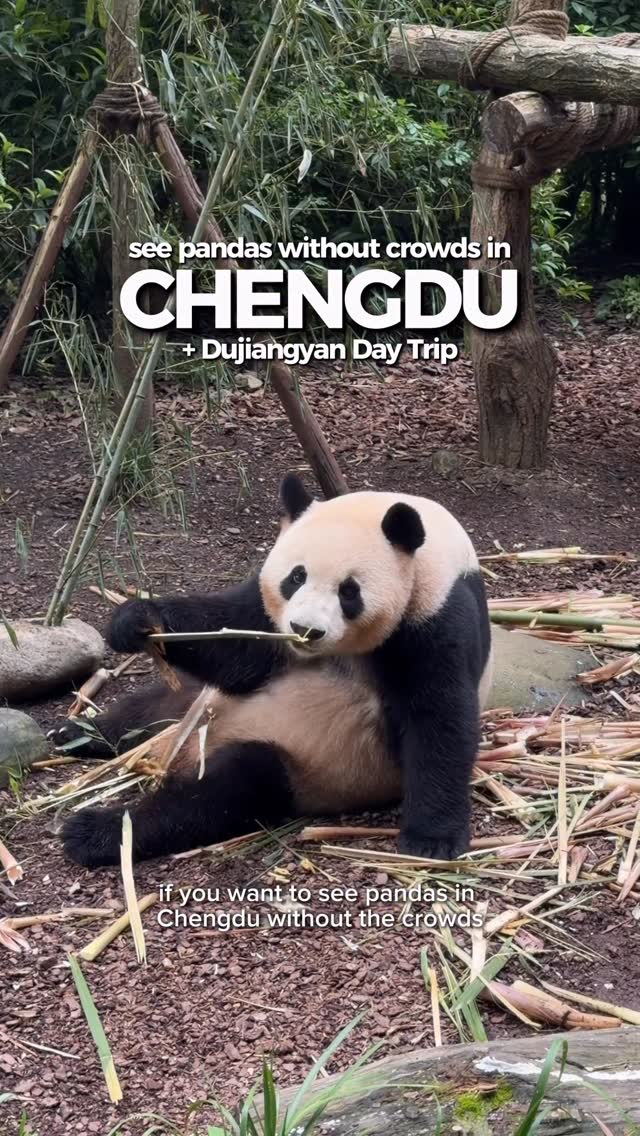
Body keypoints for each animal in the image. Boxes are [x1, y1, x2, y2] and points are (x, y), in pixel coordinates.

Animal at [57, 474, 492, 868]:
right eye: (296, 577)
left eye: (349, 591)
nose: (305, 629)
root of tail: (174, 752)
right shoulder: (265, 614)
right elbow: (237, 644)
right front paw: (136, 620)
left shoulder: (436, 616)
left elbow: (437, 718)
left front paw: (431, 840)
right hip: (193, 705)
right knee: (150, 707)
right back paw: (78, 734)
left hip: (311, 770)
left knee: (226, 789)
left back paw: (97, 831)